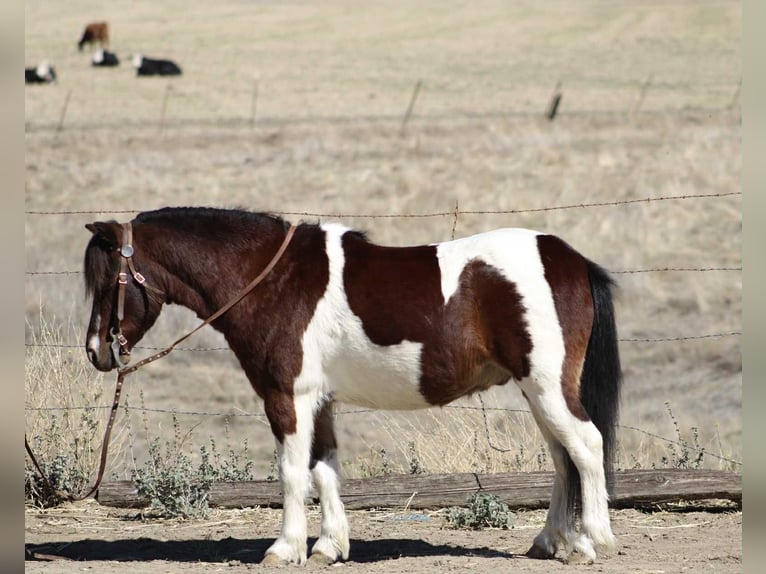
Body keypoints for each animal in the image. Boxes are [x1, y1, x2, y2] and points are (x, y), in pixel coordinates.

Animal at [83, 206, 622, 565]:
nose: (95, 352)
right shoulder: (319, 402)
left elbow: (293, 474)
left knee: (587, 446)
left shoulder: (287, 398)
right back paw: (552, 542)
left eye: (108, 281)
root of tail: (571, 260)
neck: (274, 281)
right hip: (538, 392)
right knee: (563, 458)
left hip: (547, 387)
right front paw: (328, 545)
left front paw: (285, 548)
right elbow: (325, 469)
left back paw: (594, 540)